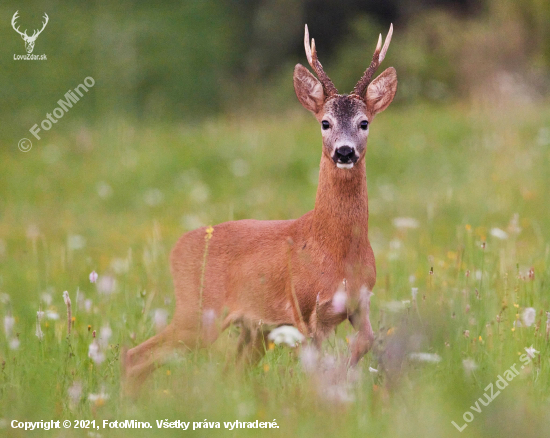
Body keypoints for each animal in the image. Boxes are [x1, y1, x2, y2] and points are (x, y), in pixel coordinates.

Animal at [125, 24, 398, 388]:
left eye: (364, 122)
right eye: (324, 122)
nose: (344, 151)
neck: (335, 251)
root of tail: (176, 249)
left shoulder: (359, 303)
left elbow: (365, 343)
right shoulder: (305, 311)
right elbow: (315, 365)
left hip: (251, 330)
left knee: (225, 370)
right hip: (199, 314)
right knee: (136, 355)